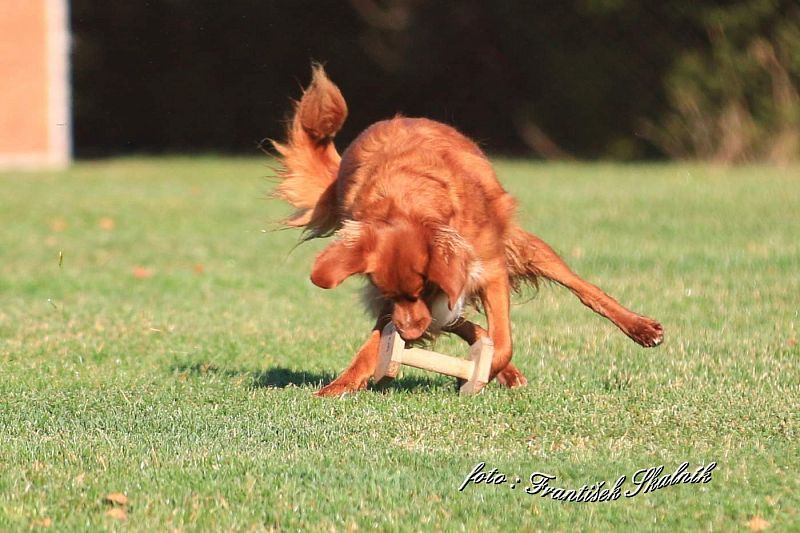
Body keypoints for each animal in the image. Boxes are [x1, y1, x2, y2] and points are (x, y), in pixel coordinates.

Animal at [276, 65, 664, 394]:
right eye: (390, 291)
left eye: (423, 287)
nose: (408, 331)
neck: (406, 199)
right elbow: (380, 340)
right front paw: (343, 384)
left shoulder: (488, 269)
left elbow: (503, 342)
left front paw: (484, 373)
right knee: (460, 324)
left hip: (521, 245)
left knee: (583, 288)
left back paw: (640, 327)